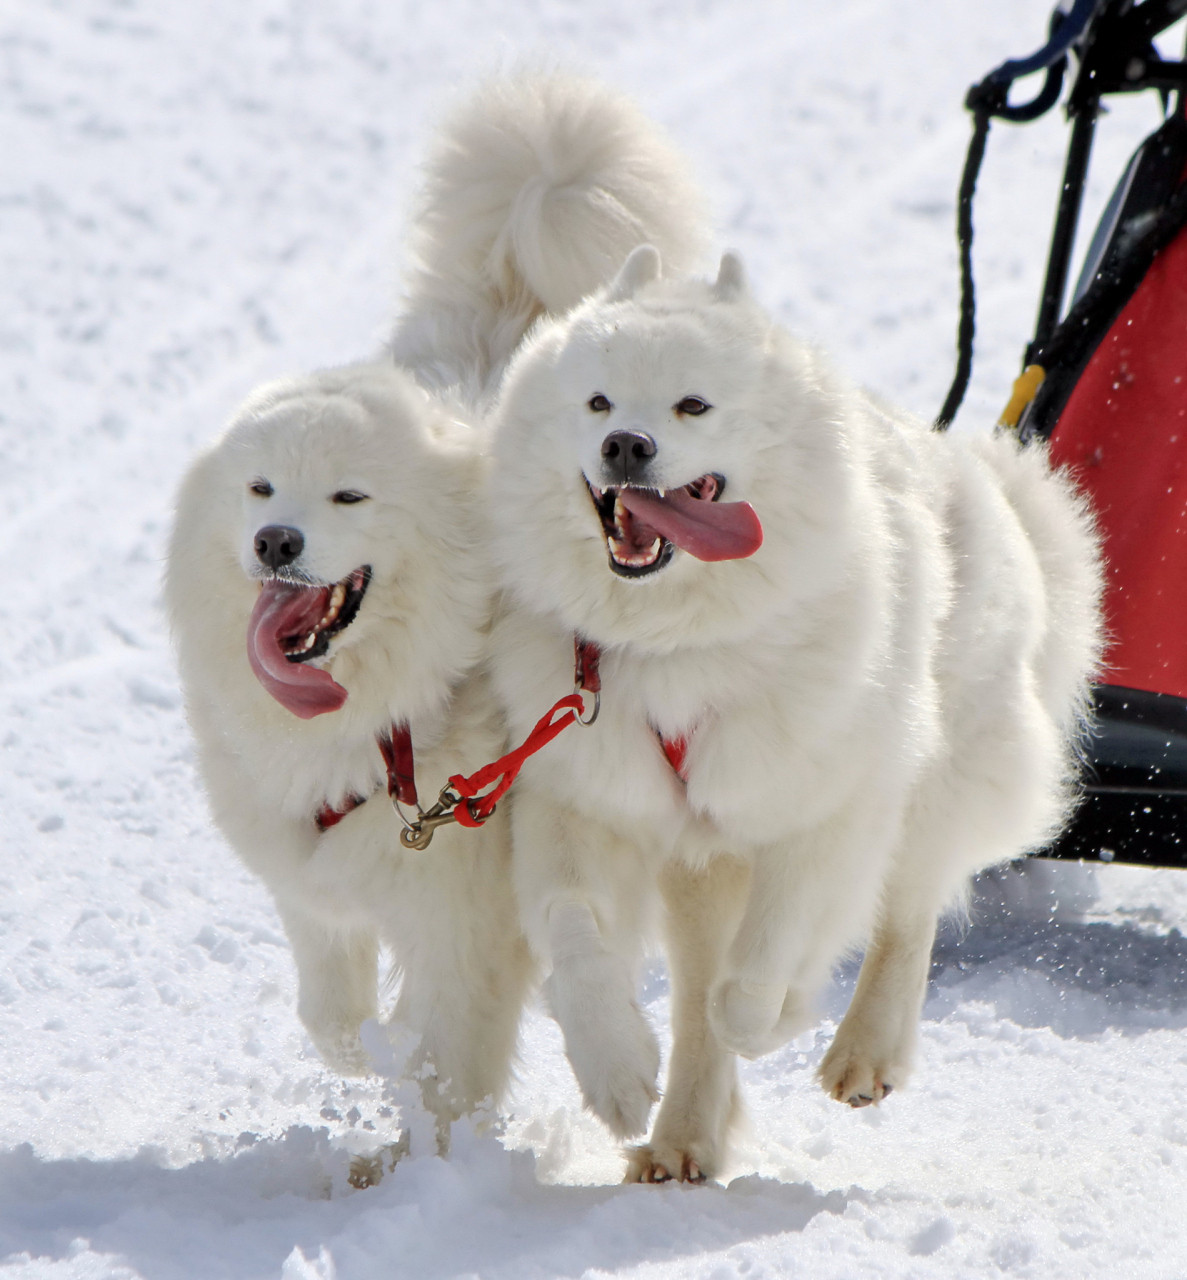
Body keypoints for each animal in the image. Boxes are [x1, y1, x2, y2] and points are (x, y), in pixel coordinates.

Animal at [163, 72, 711, 1141]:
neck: (387, 721)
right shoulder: (314, 877)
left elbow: (447, 1062)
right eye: (260, 490)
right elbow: (330, 1010)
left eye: (347, 497)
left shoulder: (464, 915)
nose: (275, 542)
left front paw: (432, 1162)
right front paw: (358, 1057)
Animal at [484, 241, 1106, 1177]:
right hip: (700, 865)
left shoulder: (822, 810)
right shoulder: (586, 801)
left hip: (935, 781)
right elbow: (576, 933)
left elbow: (760, 970)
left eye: (693, 404)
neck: (675, 643)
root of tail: (985, 478)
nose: (624, 443)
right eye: (596, 402)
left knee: (906, 913)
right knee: (701, 987)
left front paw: (773, 1017)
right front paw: (617, 1072)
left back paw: (861, 1053)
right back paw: (679, 1139)